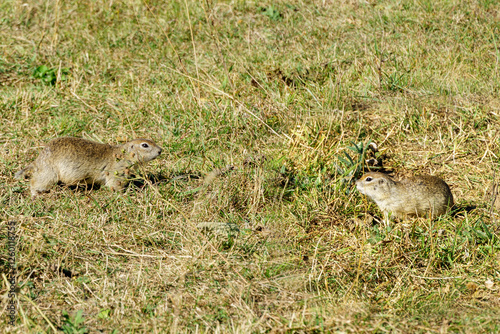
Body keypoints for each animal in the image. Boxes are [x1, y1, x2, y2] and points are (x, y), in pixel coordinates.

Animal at [15, 137, 162, 197]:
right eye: (145, 145)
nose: (161, 150)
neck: (123, 155)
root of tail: (38, 159)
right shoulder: (116, 172)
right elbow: (115, 185)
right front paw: (126, 194)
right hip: (49, 173)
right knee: (35, 182)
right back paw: (35, 195)